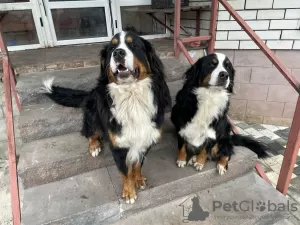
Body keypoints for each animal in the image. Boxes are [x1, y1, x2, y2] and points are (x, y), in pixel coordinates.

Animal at [43, 30, 172, 205]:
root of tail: (89, 93)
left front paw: (138, 179)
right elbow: (125, 172)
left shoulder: (146, 139)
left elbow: (137, 164)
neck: (131, 96)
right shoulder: (118, 146)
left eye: (134, 45)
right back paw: (94, 146)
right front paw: (129, 192)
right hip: (92, 113)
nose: (118, 53)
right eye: (112, 48)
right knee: (89, 132)